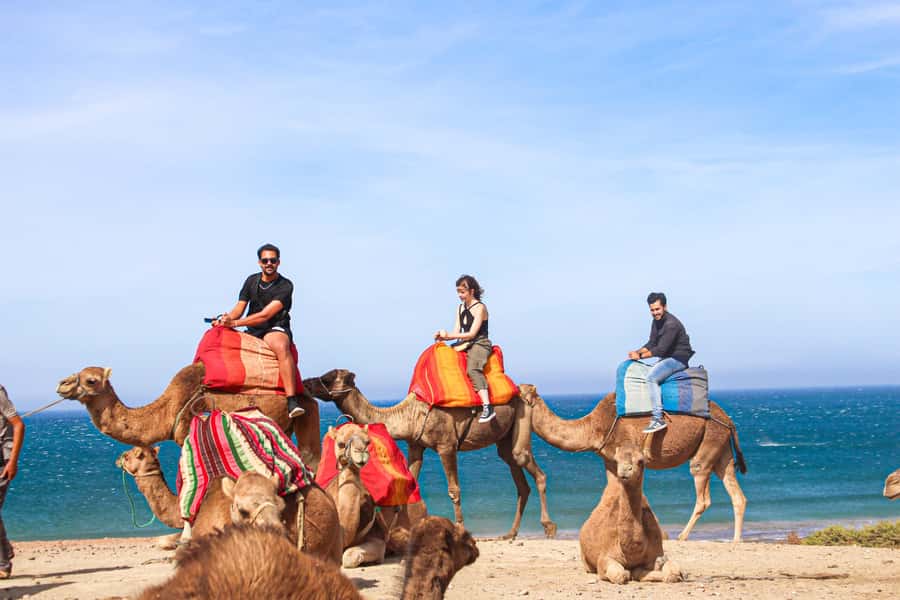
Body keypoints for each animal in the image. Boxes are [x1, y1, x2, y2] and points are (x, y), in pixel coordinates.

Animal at [303, 369, 556, 539]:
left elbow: (454, 490)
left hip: (523, 413)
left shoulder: (446, 445)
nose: (306, 383)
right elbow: (408, 484)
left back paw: (549, 527)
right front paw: (396, 533)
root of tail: (527, 389)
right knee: (517, 474)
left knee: (527, 461)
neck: (408, 415)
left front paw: (460, 529)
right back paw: (510, 533)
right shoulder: (416, 446)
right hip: (505, 436)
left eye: (328, 377)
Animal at [519, 383, 748, 542]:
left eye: (519, 393)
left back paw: (682, 536)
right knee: (736, 493)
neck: (594, 427)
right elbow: (609, 493)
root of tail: (729, 420)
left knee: (702, 491)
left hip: (709, 441)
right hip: (721, 449)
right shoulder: (610, 461)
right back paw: (736, 539)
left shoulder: (630, 455)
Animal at [580, 440, 682, 584]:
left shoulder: (656, 552)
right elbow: (621, 575)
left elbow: (671, 571)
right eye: (616, 460)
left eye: (641, 461)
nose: (624, 471)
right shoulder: (604, 557)